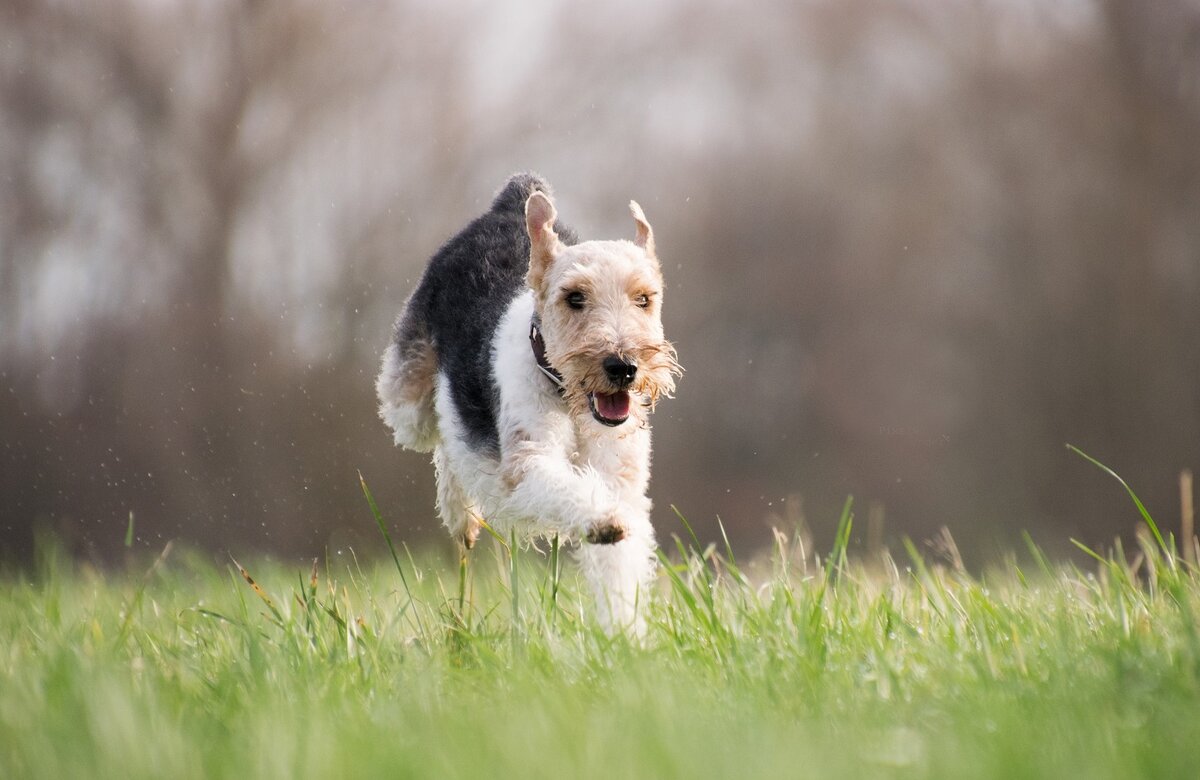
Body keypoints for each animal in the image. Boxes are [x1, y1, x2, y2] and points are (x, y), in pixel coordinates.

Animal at [376, 172, 676, 628]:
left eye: (644, 298)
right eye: (574, 297)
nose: (623, 367)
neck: (568, 400)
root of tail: (510, 201)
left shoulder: (621, 477)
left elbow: (620, 568)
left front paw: (625, 634)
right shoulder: (528, 460)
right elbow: (564, 488)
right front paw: (603, 519)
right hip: (408, 404)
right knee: (444, 436)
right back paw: (462, 517)